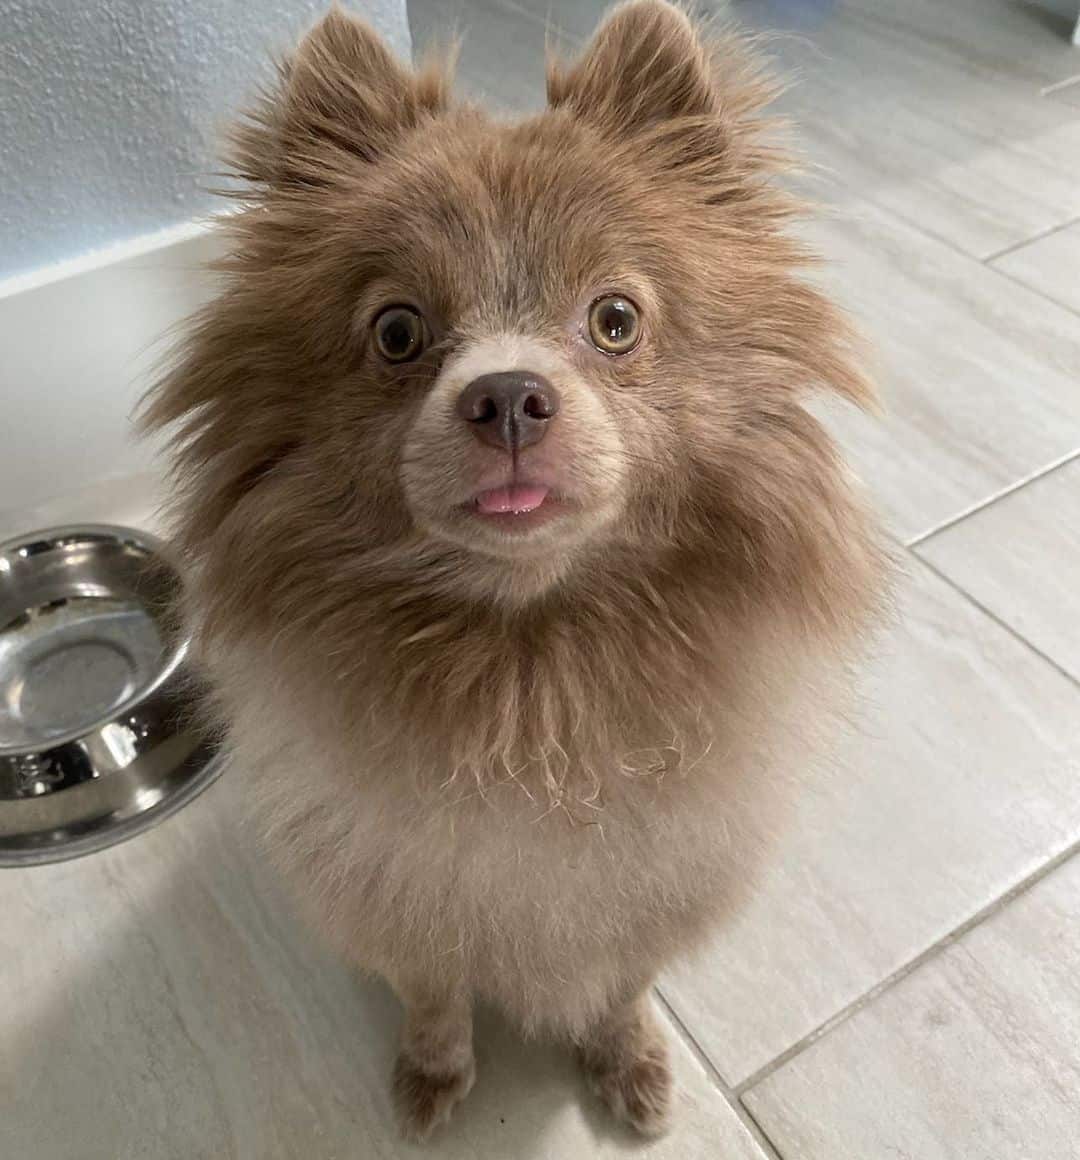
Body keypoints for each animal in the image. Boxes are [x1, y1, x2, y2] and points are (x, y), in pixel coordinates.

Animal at [143, 0, 886, 1141]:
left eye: (615, 320)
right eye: (398, 332)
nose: (506, 396)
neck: (532, 676)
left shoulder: (653, 885)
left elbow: (622, 986)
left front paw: (629, 1061)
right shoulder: (406, 895)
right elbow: (436, 995)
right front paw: (432, 1073)